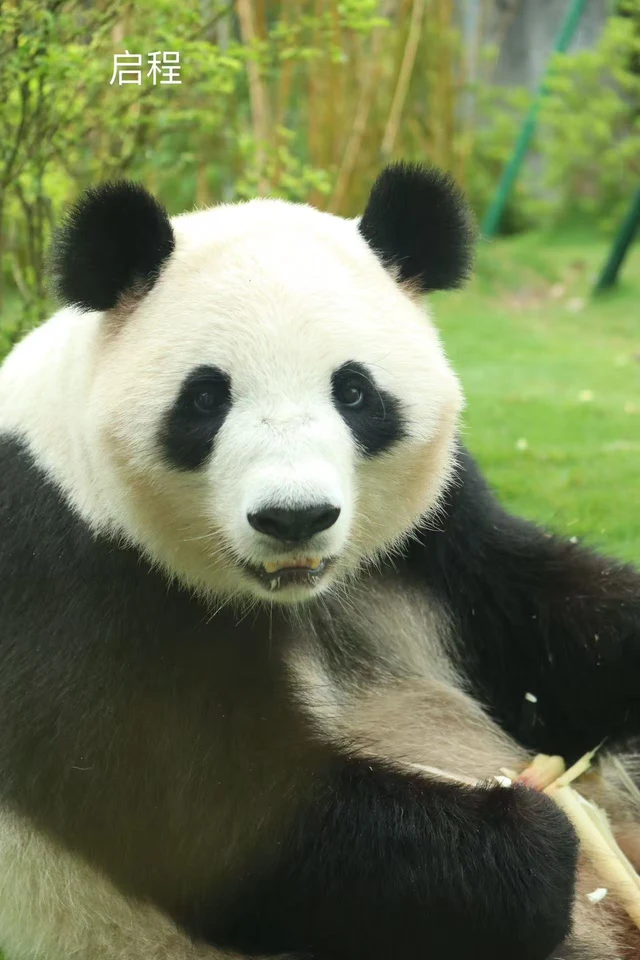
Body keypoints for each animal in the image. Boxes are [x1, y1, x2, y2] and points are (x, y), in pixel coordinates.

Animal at [0, 162, 639, 960]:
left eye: (355, 391)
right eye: (205, 398)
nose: (295, 517)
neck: (297, 594)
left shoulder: (436, 536)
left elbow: (544, 625)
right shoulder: (64, 564)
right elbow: (217, 818)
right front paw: (536, 842)